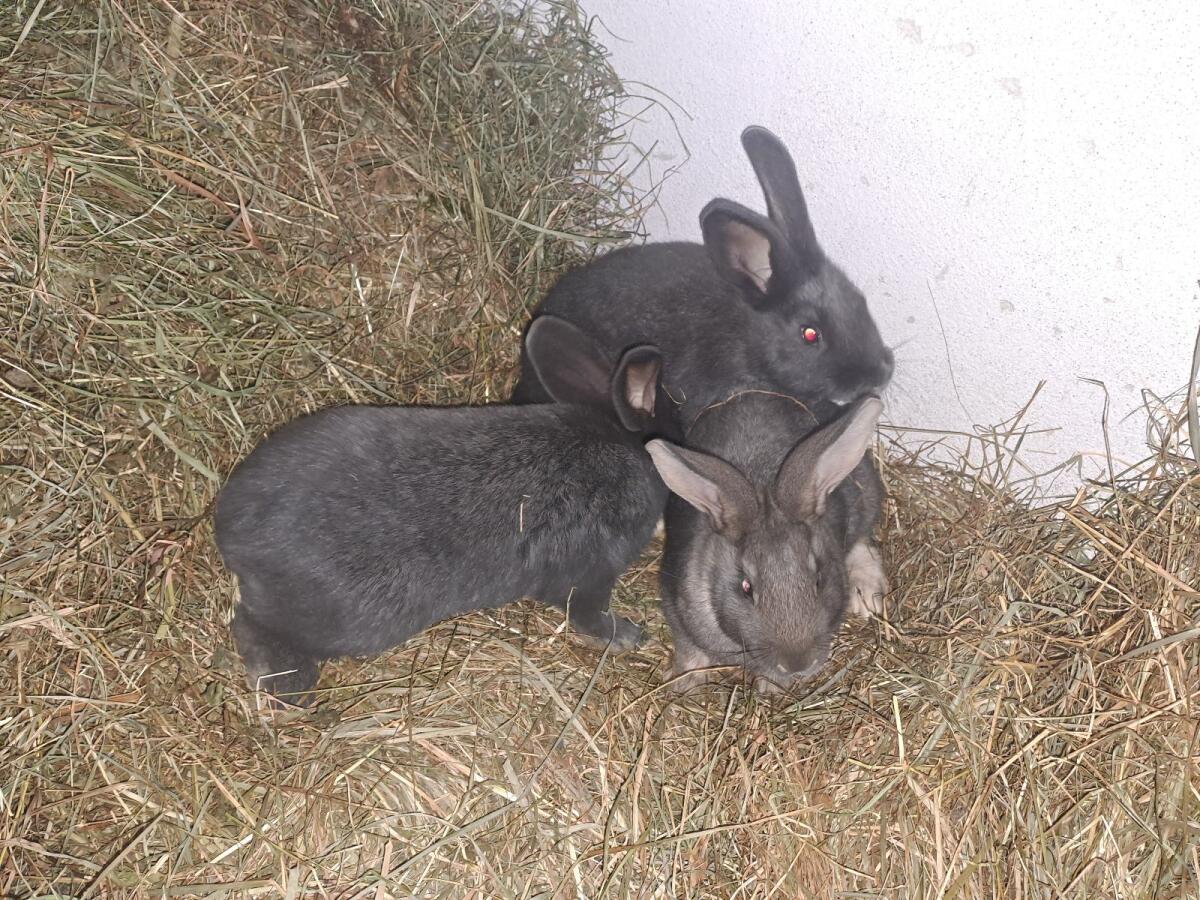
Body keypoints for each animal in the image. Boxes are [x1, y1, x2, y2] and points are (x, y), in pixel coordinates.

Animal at [213, 315, 680, 706]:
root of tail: (233, 534)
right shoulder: (589, 576)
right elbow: (587, 614)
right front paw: (628, 637)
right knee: (252, 626)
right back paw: (290, 690)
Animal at [644, 393, 886, 693]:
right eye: (746, 588)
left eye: (818, 580)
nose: (798, 665)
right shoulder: (675, 603)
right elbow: (689, 650)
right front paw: (685, 682)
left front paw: (771, 688)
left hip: (864, 496)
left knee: (862, 540)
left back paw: (867, 596)